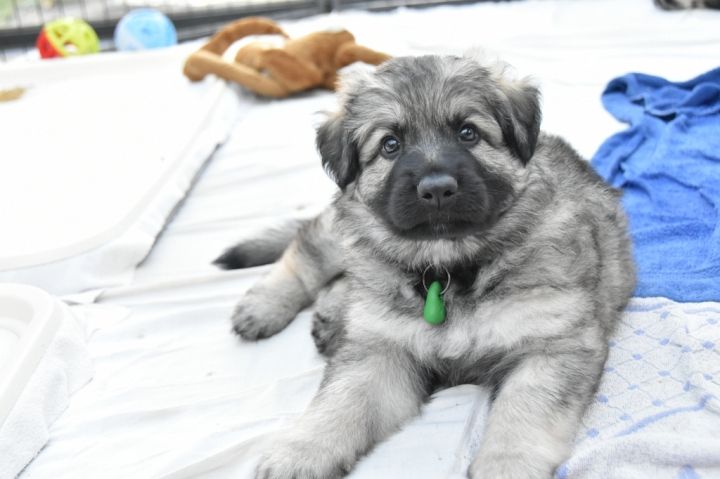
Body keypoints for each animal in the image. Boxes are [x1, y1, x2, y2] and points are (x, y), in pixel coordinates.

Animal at [215, 54, 636, 479]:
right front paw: (301, 451)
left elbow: (525, 409)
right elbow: (342, 401)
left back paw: (331, 316)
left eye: (468, 133)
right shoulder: (381, 353)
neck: (447, 267)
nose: (436, 189)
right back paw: (264, 306)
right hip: (347, 229)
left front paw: (506, 463)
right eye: (390, 144)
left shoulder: (553, 345)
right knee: (310, 249)